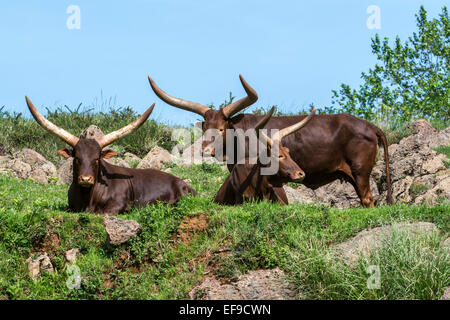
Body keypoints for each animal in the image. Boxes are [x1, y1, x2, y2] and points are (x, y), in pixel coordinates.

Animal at [24, 96, 196, 214]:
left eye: (96, 159)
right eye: (77, 158)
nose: (86, 179)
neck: (87, 198)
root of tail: (183, 183)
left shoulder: (120, 205)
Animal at [149, 74, 392, 208]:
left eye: (220, 128)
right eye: (204, 127)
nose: (205, 150)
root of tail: (370, 126)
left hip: (360, 171)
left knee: (368, 199)